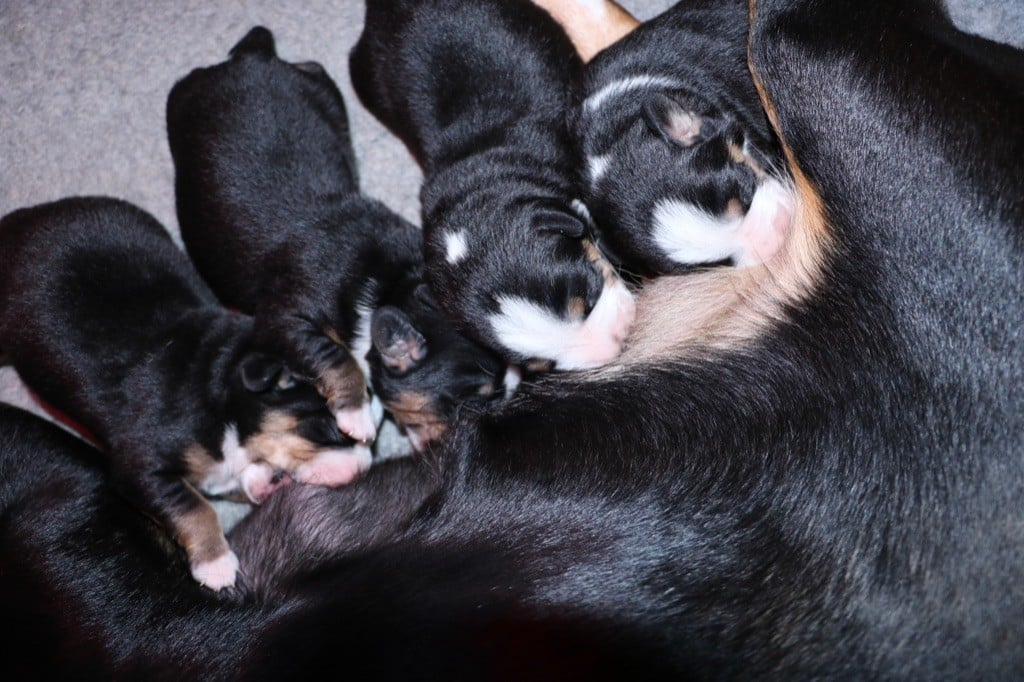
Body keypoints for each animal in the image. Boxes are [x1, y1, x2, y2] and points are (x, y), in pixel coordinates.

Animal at [0, 196, 372, 589]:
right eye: (330, 429)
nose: (364, 469)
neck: (221, 389)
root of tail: (22, 219)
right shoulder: (141, 465)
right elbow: (192, 505)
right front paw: (216, 563)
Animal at [167, 27, 512, 450]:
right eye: (472, 399)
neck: (388, 285)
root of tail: (250, 57)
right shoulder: (284, 318)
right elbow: (332, 354)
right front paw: (355, 415)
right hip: (184, 96)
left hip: (321, 91)